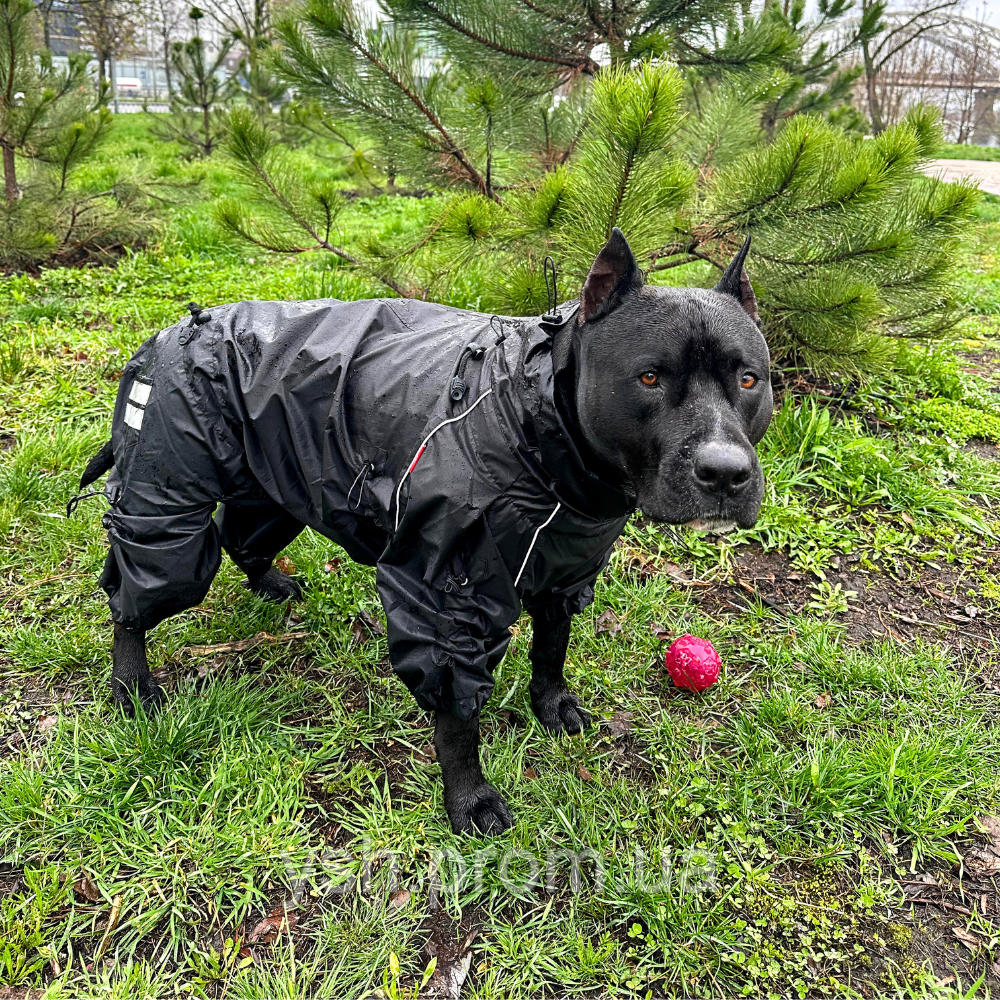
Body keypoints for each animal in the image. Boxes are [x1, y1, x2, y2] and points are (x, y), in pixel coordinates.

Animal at [80, 230, 772, 832]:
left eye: (748, 379)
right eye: (649, 377)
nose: (725, 472)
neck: (537, 418)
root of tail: (171, 330)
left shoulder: (565, 572)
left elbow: (551, 648)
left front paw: (551, 706)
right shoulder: (448, 604)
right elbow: (458, 721)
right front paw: (470, 799)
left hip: (276, 480)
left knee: (239, 534)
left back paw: (271, 585)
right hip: (166, 509)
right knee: (134, 598)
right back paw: (133, 685)